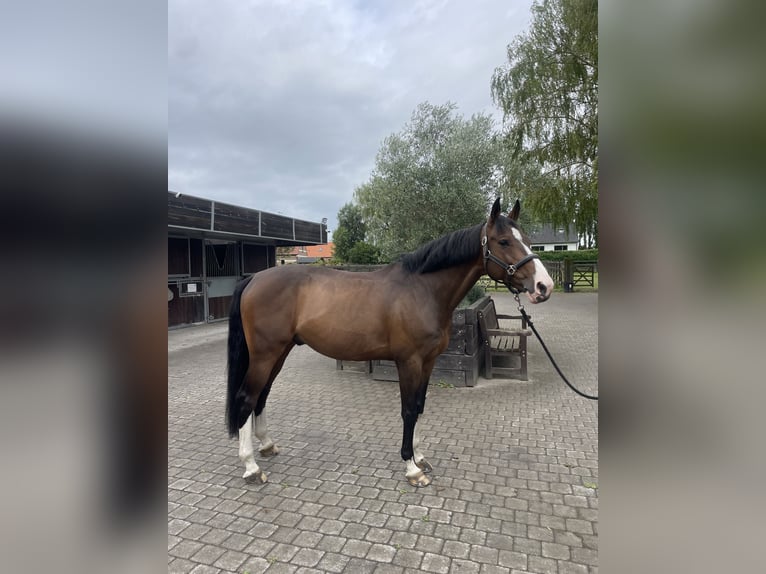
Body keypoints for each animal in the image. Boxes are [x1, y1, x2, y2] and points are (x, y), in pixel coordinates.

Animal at [225, 200, 556, 488]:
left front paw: (420, 457)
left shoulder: (428, 362)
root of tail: (254, 279)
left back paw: (267, 445)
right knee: (246, 397)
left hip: (279, 353)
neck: (421, 290)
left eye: (527, 239)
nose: (544, 287)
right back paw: (251, 467)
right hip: (265, 354)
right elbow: (408, 410)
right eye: (503, 241)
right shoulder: (408, 362)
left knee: (262, 396)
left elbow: (420, 406)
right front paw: (411, 468)